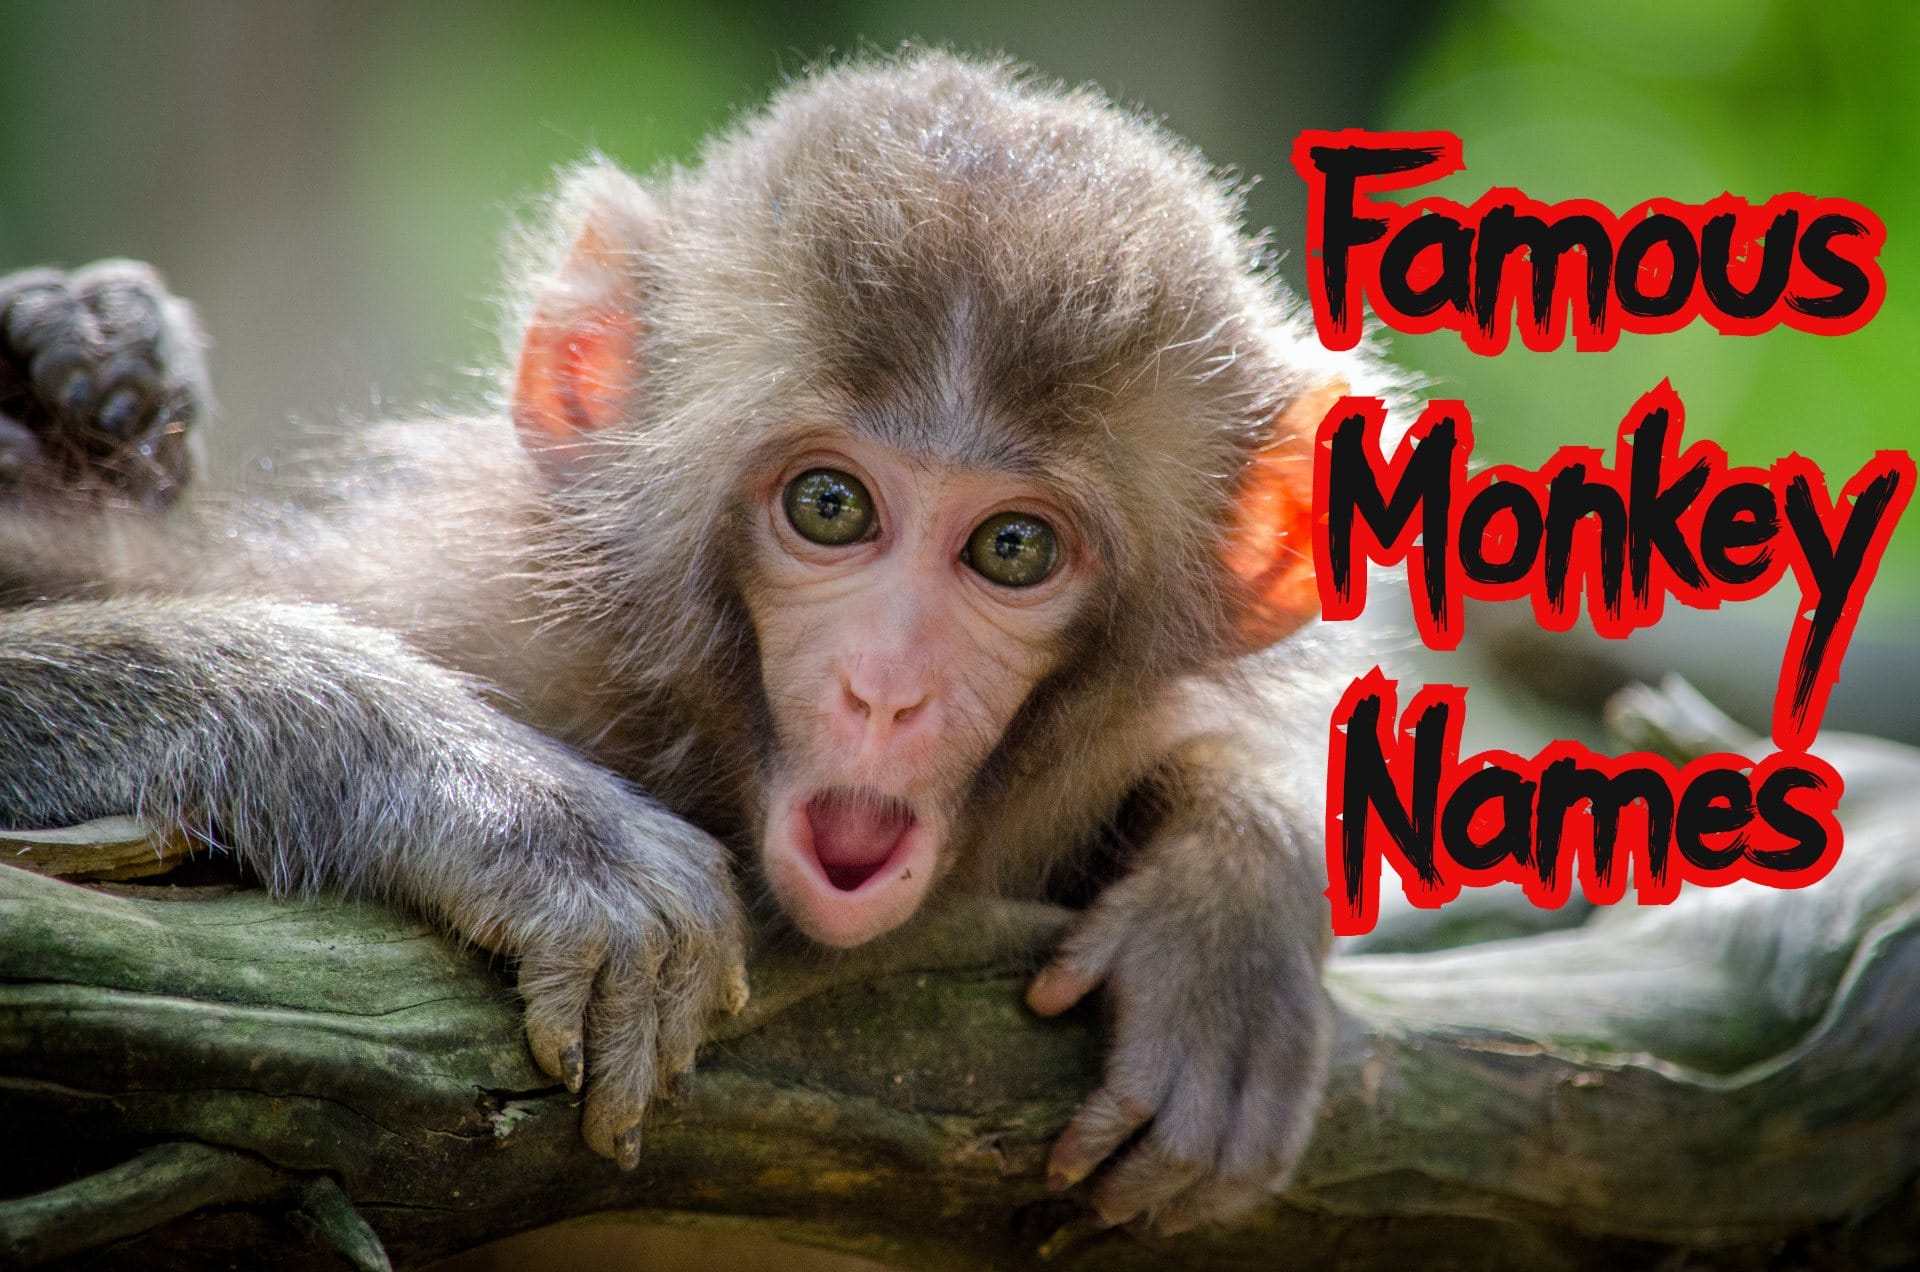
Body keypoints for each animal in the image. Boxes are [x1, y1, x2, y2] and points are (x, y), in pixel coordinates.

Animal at [0, 51, 1394, 1234]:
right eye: (829, 506)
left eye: (1013, 549)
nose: (886, 689)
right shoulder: (471, 605)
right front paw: (515, 814)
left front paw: (1231, 896)